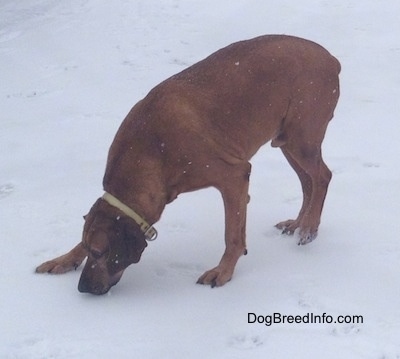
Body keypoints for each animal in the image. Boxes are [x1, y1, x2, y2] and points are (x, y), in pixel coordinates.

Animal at [36, 35, 340, 296]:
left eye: (100, 253)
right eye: (89, 249)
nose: (82, 289)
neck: (152, 150)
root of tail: (331, 58)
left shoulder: (234, 176)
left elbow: (232, 235)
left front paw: (223, 272)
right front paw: (63, 259)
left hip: (301, 139)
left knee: (322, 177)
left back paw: (310, 228)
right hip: (286, 141)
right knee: (307, 182)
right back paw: (298, 223)